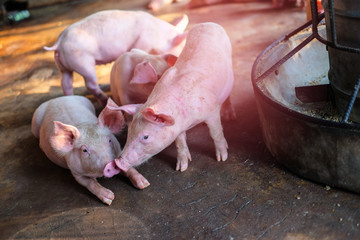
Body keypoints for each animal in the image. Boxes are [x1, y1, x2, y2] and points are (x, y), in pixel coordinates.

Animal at [44, 10, 188, 106]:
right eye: (181, 47)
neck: (160, 36)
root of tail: (59, 43)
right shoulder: (143, 43)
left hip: (63, 65)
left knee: (66, 82)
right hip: (82, 61)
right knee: (89, 83)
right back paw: (103, 100)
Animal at [102, 22, 235, 181]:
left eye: (146, 136)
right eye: (130, 132)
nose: (117, 163)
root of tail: (208, 23)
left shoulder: (212, 111)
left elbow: (216, 133)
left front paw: (222, 158)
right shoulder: (177, 128)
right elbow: (179, 142)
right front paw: (181, 168)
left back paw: (230, 116)